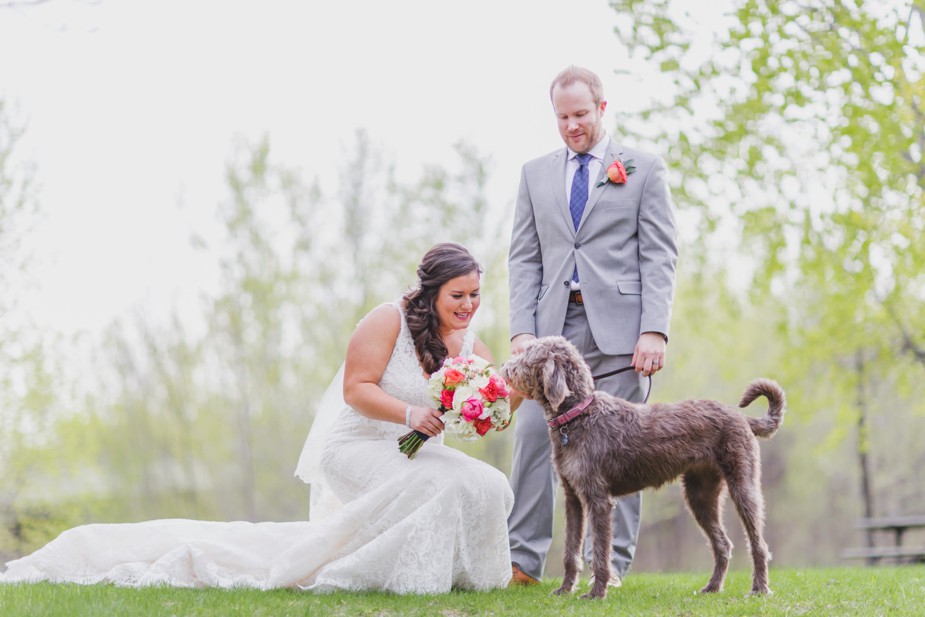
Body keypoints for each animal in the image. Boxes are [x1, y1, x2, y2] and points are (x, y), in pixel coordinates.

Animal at [502, 334, 784, 600]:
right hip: (700, 495)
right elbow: (571, 552)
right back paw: (712, 587)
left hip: (743, 487)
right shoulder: (573, 499)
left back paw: (759, 589)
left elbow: (602, 552)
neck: (578, 416)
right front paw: (564, 589)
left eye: (528, 354)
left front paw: (597, 593)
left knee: (758, 544)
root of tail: (742, 417)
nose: (505, 366)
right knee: (722, 544)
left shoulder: (598, 500)